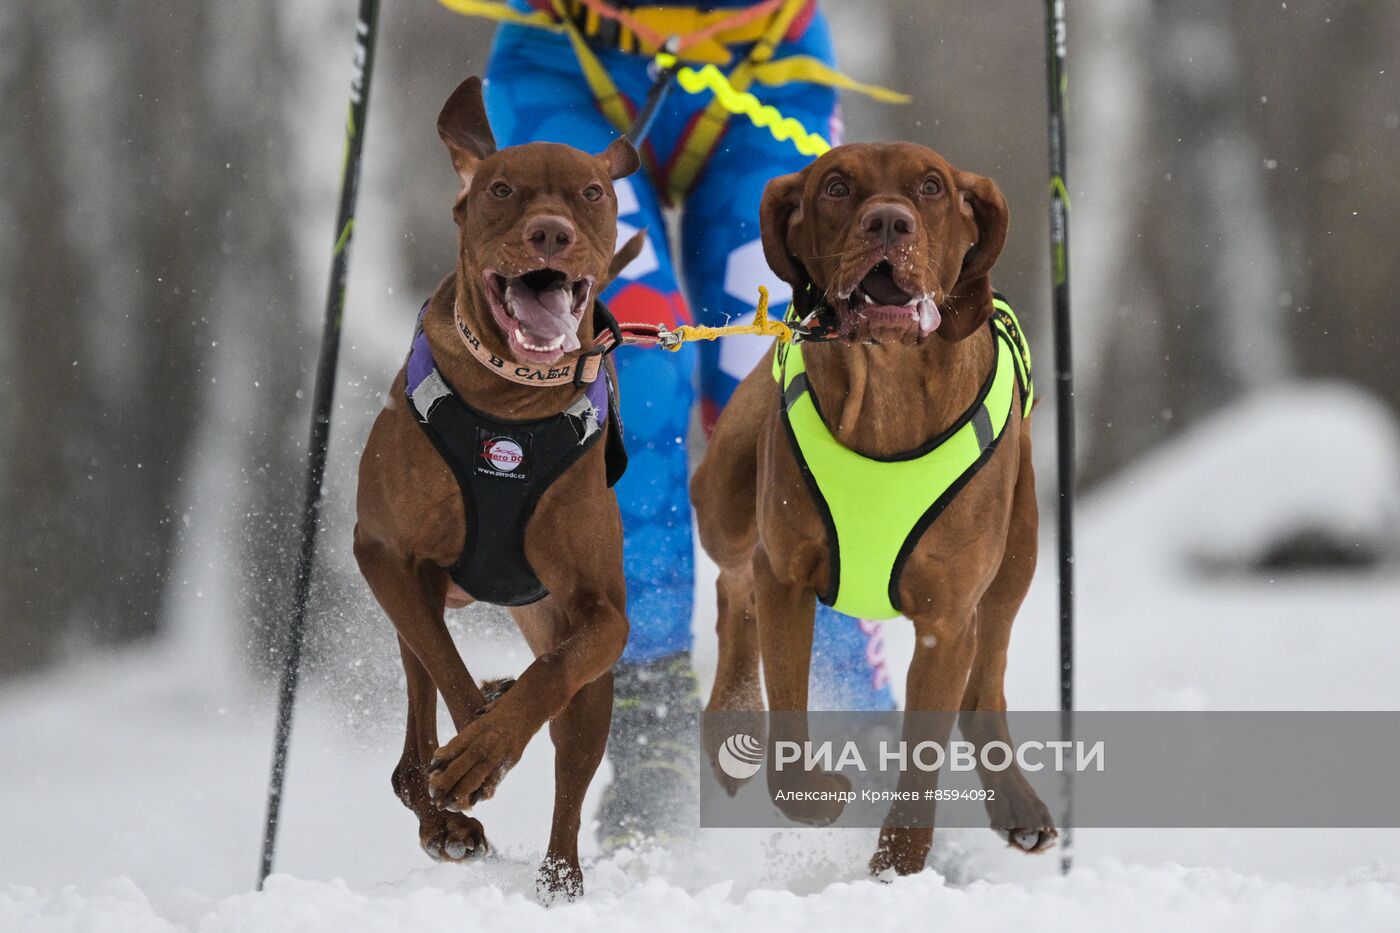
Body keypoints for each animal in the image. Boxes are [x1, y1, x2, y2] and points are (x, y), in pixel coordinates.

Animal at [358, 78, 646, 896]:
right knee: (414, 732)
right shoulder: (382, 553)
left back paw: (559, 880)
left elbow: (555, 673)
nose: (550, 233)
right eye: (502, 190)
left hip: (580, 665)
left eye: (590, 192)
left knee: (570, 758)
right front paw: (473, 754)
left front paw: (488, 744)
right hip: (414, 592)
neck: (512, 402)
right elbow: (447, 673)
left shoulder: (602, 615)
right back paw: (444, 816)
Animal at [694, 140, 1052, 874]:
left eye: (932, 187)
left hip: (1021, 542)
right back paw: (734, 720)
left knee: (987, 681)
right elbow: (788, 733)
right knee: (732, 577)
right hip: (725, 498)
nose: (889, 222)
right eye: (835, 186)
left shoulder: (947, 616)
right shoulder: (788, 577)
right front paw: (817, 797)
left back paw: (1017, 801)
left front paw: (896, 869)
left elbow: (923, 758)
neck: (888, 387)